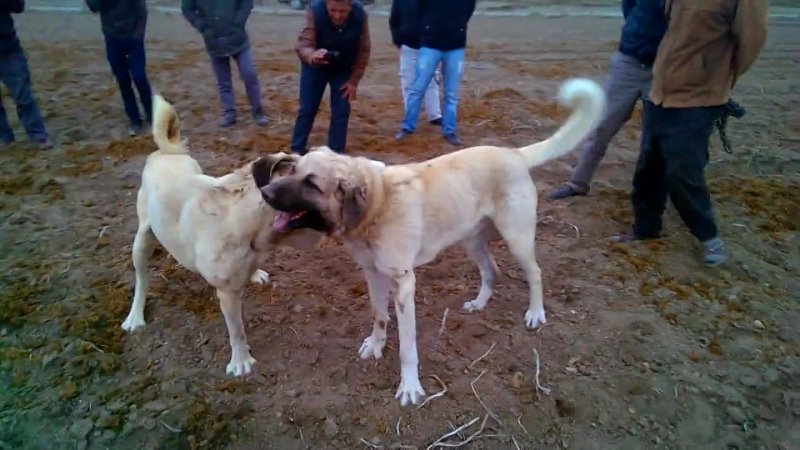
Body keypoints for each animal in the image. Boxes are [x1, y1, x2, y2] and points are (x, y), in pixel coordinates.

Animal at [121, 94, 318, 376]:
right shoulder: (227, 293)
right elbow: (237, 331)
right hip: (142, 240)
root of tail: (165, 153)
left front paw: (255, 273)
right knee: (141, 280)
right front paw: (241, 361)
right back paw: (135, 316)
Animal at [260, 77, 604, 404]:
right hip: (473, 241)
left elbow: (408, 347)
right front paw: (376, 345)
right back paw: (479, 304)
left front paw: (410, 387)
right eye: (293, 168)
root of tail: (513, 153)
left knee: (535, 273)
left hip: (517, 238)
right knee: (492, 272)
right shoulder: (373, 274)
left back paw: (535, 313)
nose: (264, 191)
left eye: (312, 184)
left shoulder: (403, 285)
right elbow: (378, 316)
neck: (376, 204)